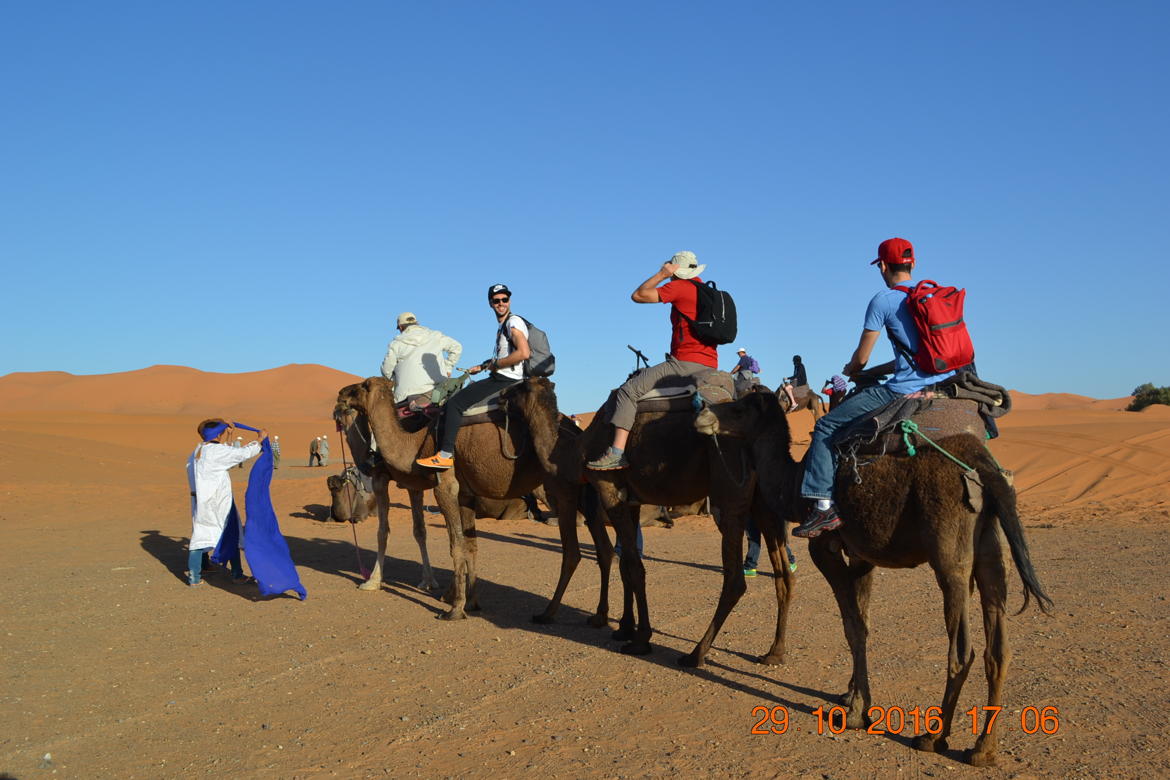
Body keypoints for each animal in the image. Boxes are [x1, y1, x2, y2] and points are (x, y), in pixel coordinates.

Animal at [332, 374, 613, 626]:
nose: (341, 394)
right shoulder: (464, 493)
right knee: (604, 548)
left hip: (560, 489)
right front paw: (471, 601)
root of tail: (575, 429)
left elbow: (449, 544)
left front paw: (453, 608)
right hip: (586, 491)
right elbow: (470, 544)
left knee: (572, 551)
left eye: (362, 386)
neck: (415, 443)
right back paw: (598, 616)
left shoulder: (441, 484)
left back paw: (548, 612)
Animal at [687, 392, 1057, 767]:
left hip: (950, 555)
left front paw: (856, 714)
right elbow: (863, 620)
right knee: (998, 649)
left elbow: (852, 626)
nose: (702, 416)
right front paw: (851, 695)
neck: (792, 485)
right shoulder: (863, 555)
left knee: (961, 648)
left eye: (737, 408)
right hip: (993, 553)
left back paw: (933, 737)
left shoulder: (825, 547)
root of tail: (984, 468)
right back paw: (982, 749)